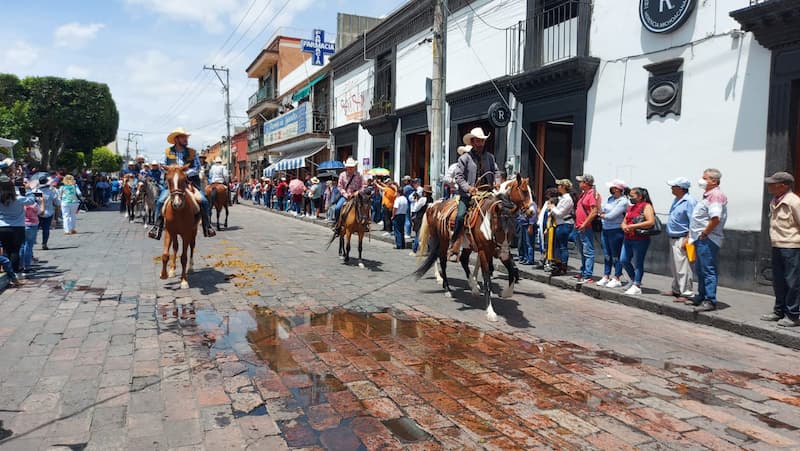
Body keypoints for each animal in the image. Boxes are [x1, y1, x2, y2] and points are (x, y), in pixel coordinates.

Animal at [416, 176, 536, 322]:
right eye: (524, 191)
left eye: (512, 228)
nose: (532, 212)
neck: (487, 220)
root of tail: (433, 205)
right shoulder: (484, 251)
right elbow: (487, 279)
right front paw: (490, 311)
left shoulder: (501, 251)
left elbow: (512, 271)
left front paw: (505, 293)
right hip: (440, 240)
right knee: (442, 261)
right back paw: (446, 287)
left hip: (466, 245)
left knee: (462, 259)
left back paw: (472, 287)